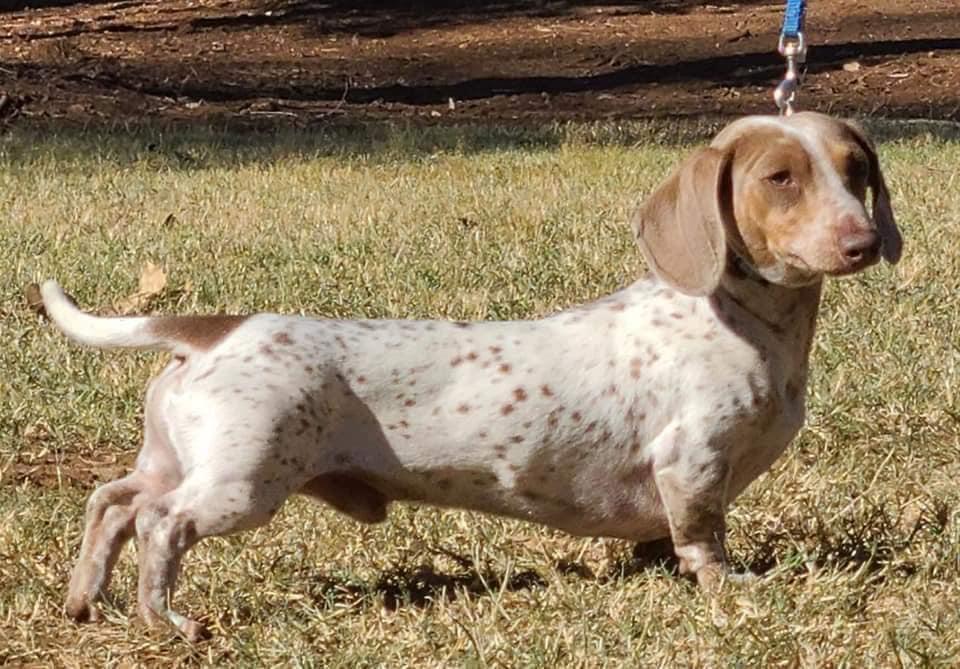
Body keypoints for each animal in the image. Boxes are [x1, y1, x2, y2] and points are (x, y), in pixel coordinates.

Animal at [43, 112, 900, 640]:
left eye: (856, 168)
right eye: (780, 177)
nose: (861, 241)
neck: (739, 316)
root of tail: (215, 327)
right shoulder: (693, 461)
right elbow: (704, 540)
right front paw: (731, 591)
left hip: (176, 459)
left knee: (113, 502)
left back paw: (86, 597)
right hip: (242, 481)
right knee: (161, 523)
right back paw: (165, 618)